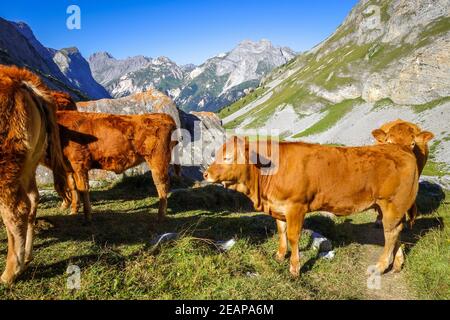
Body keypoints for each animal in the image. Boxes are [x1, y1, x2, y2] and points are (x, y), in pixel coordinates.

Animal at [204, 138, 418, 278]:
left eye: (229, 157)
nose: (206, 174)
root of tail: (400, 148)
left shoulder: (295, 207)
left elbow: (293, 236)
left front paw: (294, 269)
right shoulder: (278, 207)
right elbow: (281, 232)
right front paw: (280, 256)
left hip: (392, 204)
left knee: (390, 234)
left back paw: (381, 266)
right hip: (387, 207)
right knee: (396, 232)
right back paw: (397, 263)